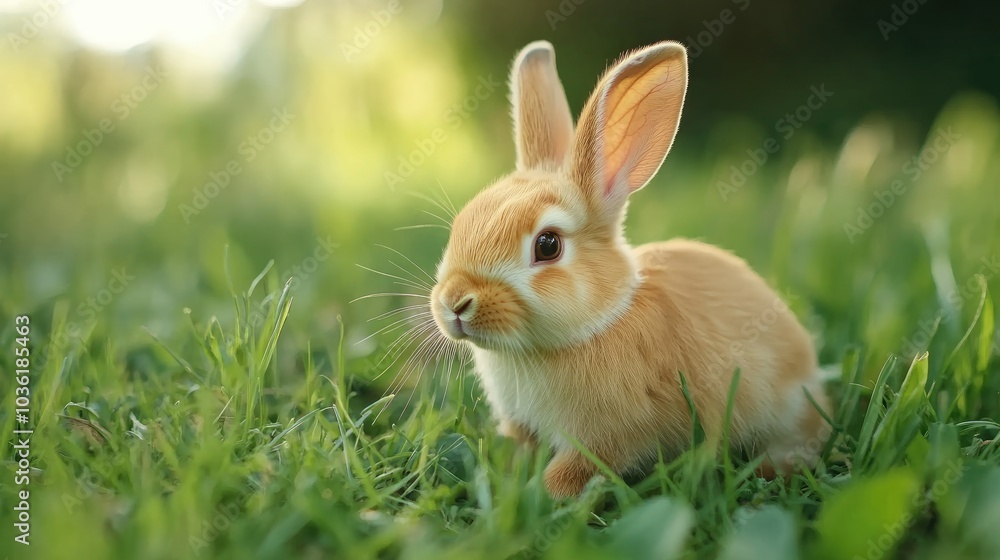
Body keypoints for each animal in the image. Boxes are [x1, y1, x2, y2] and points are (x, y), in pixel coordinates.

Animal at [428, 40, 831, 498]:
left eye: (547, 245)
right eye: (461, 223)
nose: (455, 303)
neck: (597, 324)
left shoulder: (605, 437)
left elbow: (572, 472)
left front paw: (544, 495)